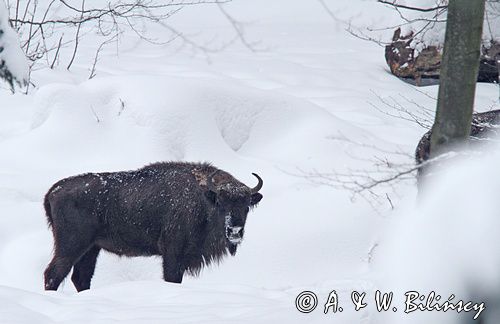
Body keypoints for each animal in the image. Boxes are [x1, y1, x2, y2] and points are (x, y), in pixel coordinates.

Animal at [43, 162, 264, 292]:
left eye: (246, 206)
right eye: (220, 203)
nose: (235, 231)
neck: (203, 198)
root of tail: (53, 191)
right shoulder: (173, 254)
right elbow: (172, 278)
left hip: (91, 249)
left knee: (81, 277)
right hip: (71, 247)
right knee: (54, 274)